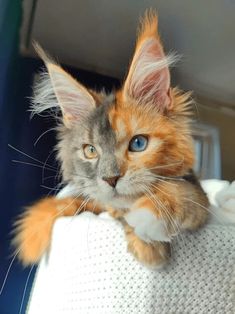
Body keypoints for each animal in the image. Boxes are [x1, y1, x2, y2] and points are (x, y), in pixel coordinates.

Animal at [11, 11, 208, 268]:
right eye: (90, 151)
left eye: (138, 144)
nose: (111, 179)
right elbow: (112, 208)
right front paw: (148, 247)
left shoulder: (200, 196)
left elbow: (179, 189)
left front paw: (150, 218)